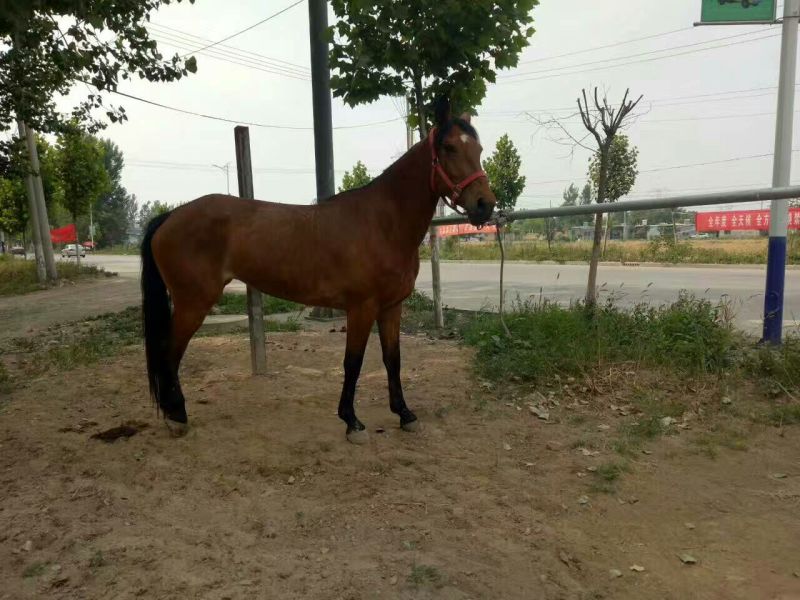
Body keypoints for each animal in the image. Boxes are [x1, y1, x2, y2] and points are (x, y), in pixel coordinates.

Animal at [140, 97, 496, 443]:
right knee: (169, 354)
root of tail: (170, 217)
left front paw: (405, 414)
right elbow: (353, 363)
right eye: (449, 147)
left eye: (478, 150)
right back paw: (177, 418)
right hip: (193, 304)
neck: (382, 223)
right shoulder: (361, 308)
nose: (485, 205)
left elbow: (392, 360)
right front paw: (352, 422)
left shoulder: (391, 307)